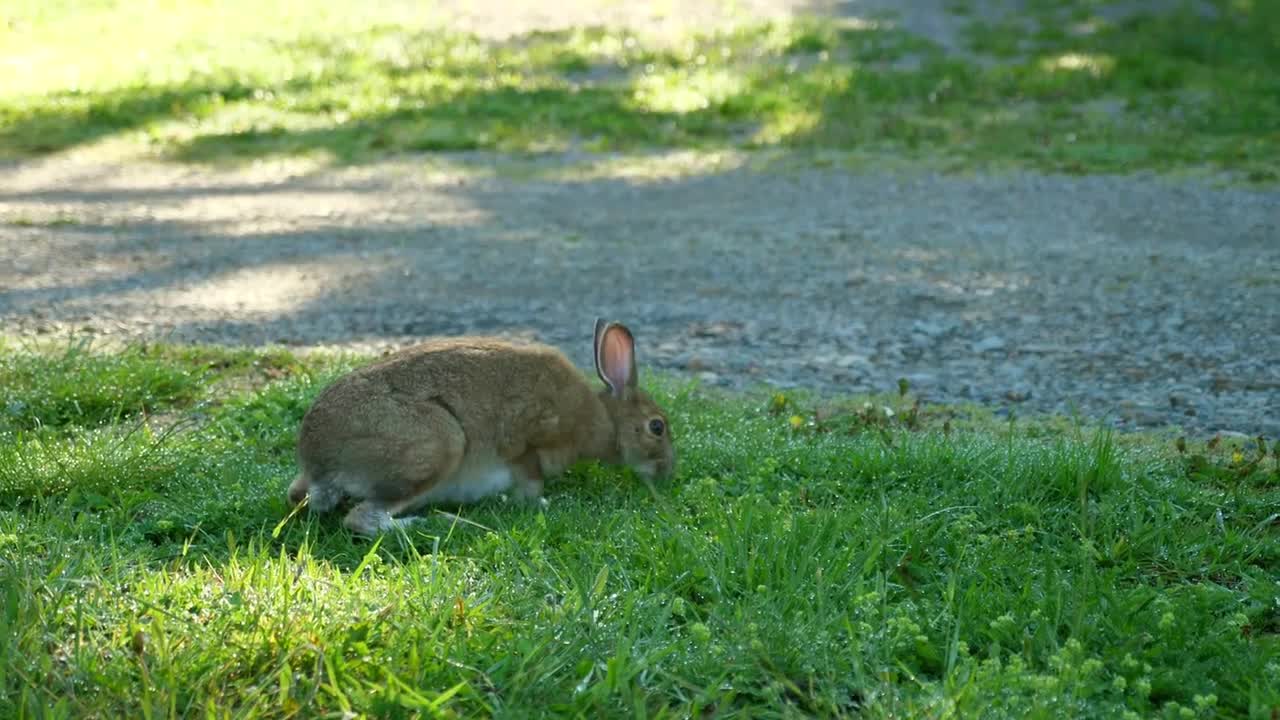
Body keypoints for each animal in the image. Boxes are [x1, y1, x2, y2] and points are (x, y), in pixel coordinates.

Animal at [286, 317, 675, 532]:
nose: (667, 472)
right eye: (657, 427)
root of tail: (318, 463)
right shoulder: (529, 441)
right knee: (364, 518)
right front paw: (537, 504)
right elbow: (529, 476)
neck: (602, 417)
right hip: (437, 446)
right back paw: (437, 523)